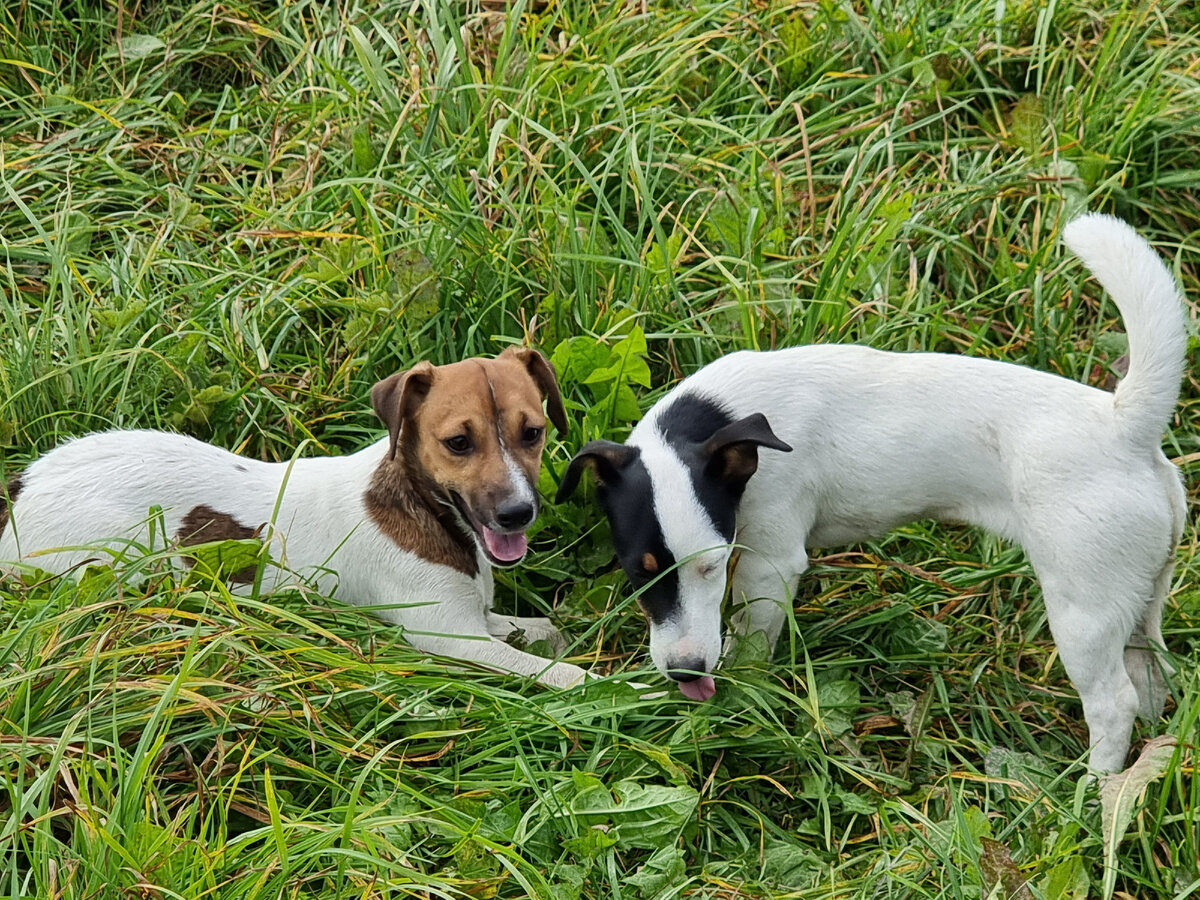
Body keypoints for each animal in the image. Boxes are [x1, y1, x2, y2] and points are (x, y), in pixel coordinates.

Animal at [0, 348, 590, 686]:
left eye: (533, 433)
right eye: (459, 443)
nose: (517, 514)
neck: (420, 505)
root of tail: (22, 491)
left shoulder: (474, 617)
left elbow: (542, 631)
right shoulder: (449, 638)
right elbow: (565, 675)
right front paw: (610, 694)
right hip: (109, 564)